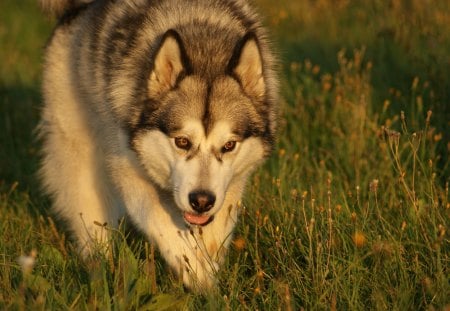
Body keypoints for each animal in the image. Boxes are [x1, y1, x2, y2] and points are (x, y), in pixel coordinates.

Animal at [38, 0, 278, 290]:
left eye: (229, 145)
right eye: (182, 141)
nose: (201, 201)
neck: (205, 48)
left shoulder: (230, 186)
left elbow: (212, 236)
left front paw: (206, 274)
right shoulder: (130, 172)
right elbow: (165, 225)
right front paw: (199, 276)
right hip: (83, 162)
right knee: (93, 225)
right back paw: (100, 271)